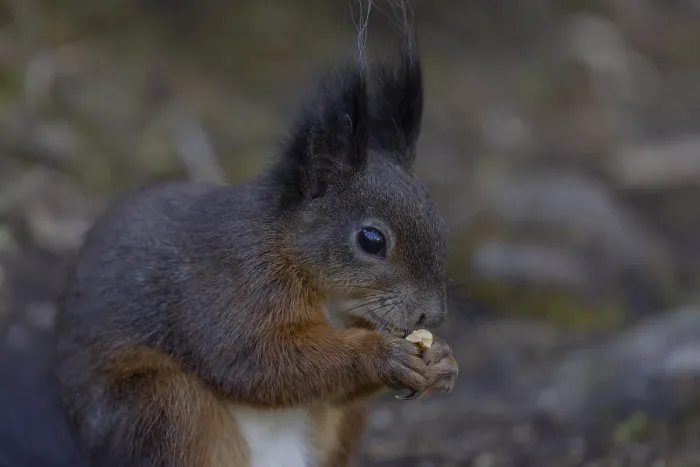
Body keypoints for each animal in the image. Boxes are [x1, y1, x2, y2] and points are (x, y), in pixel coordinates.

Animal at [52, 42, 458, 467]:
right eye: (372, 240)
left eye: (440, 222)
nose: (433, 315)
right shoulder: (231, 282)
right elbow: (254, 360)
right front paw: (379, 354)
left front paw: (444, 360)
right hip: (165, 405)